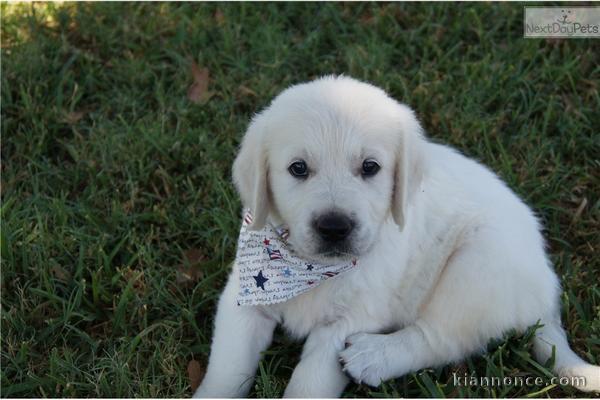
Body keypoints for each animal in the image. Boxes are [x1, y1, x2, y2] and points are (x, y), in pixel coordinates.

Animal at [195, 76, 596, 396]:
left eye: (370, 167)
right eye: (298, 168)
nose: (335, 227)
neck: (306, 267)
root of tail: (547, 291)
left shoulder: (352, 319)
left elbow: (309, 384)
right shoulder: (242, 300)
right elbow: (226, 370)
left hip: (479, 264)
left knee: (441, 337)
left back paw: (374, 356)